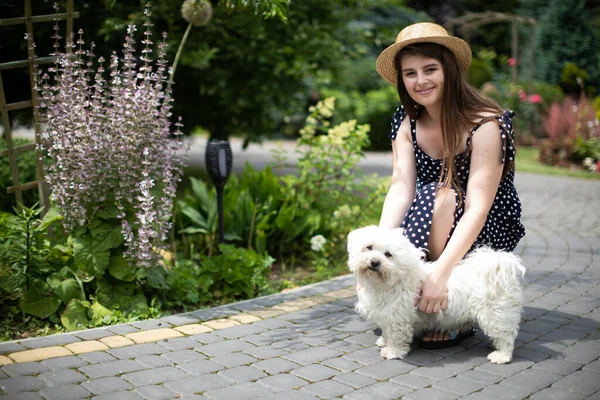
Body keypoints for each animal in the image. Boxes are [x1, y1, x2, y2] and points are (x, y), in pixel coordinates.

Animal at [346, 227, 524, 364]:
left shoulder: (399, 317)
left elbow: (397, 335)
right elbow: (386, 330)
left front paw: (393, 351)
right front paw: (384, 341)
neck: (389, 281)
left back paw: (501, 355)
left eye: (388, 254)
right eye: (369, 247)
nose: (374, 262)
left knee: (506, 336)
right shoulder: (386, 314)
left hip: (495, 314)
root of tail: (498, 266)